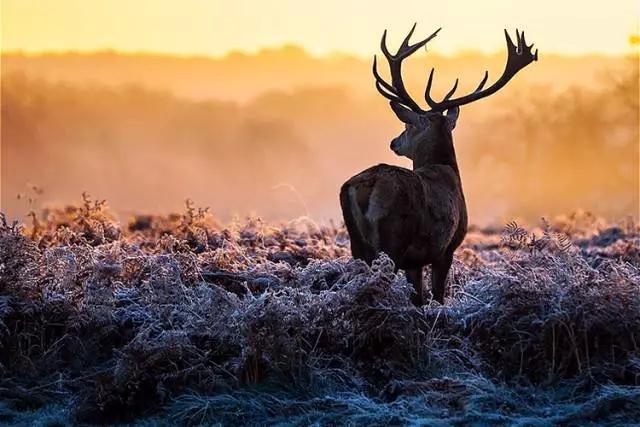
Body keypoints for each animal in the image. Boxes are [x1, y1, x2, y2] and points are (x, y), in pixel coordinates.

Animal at [338, 25, 536, 306]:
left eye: (407, 125)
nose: (394, 142)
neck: (447, 169)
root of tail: (367, 186)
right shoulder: (446, 248)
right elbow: (438, 296)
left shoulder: (415, 261)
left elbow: (418, 298)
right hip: (393, 239)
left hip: (357, 243)